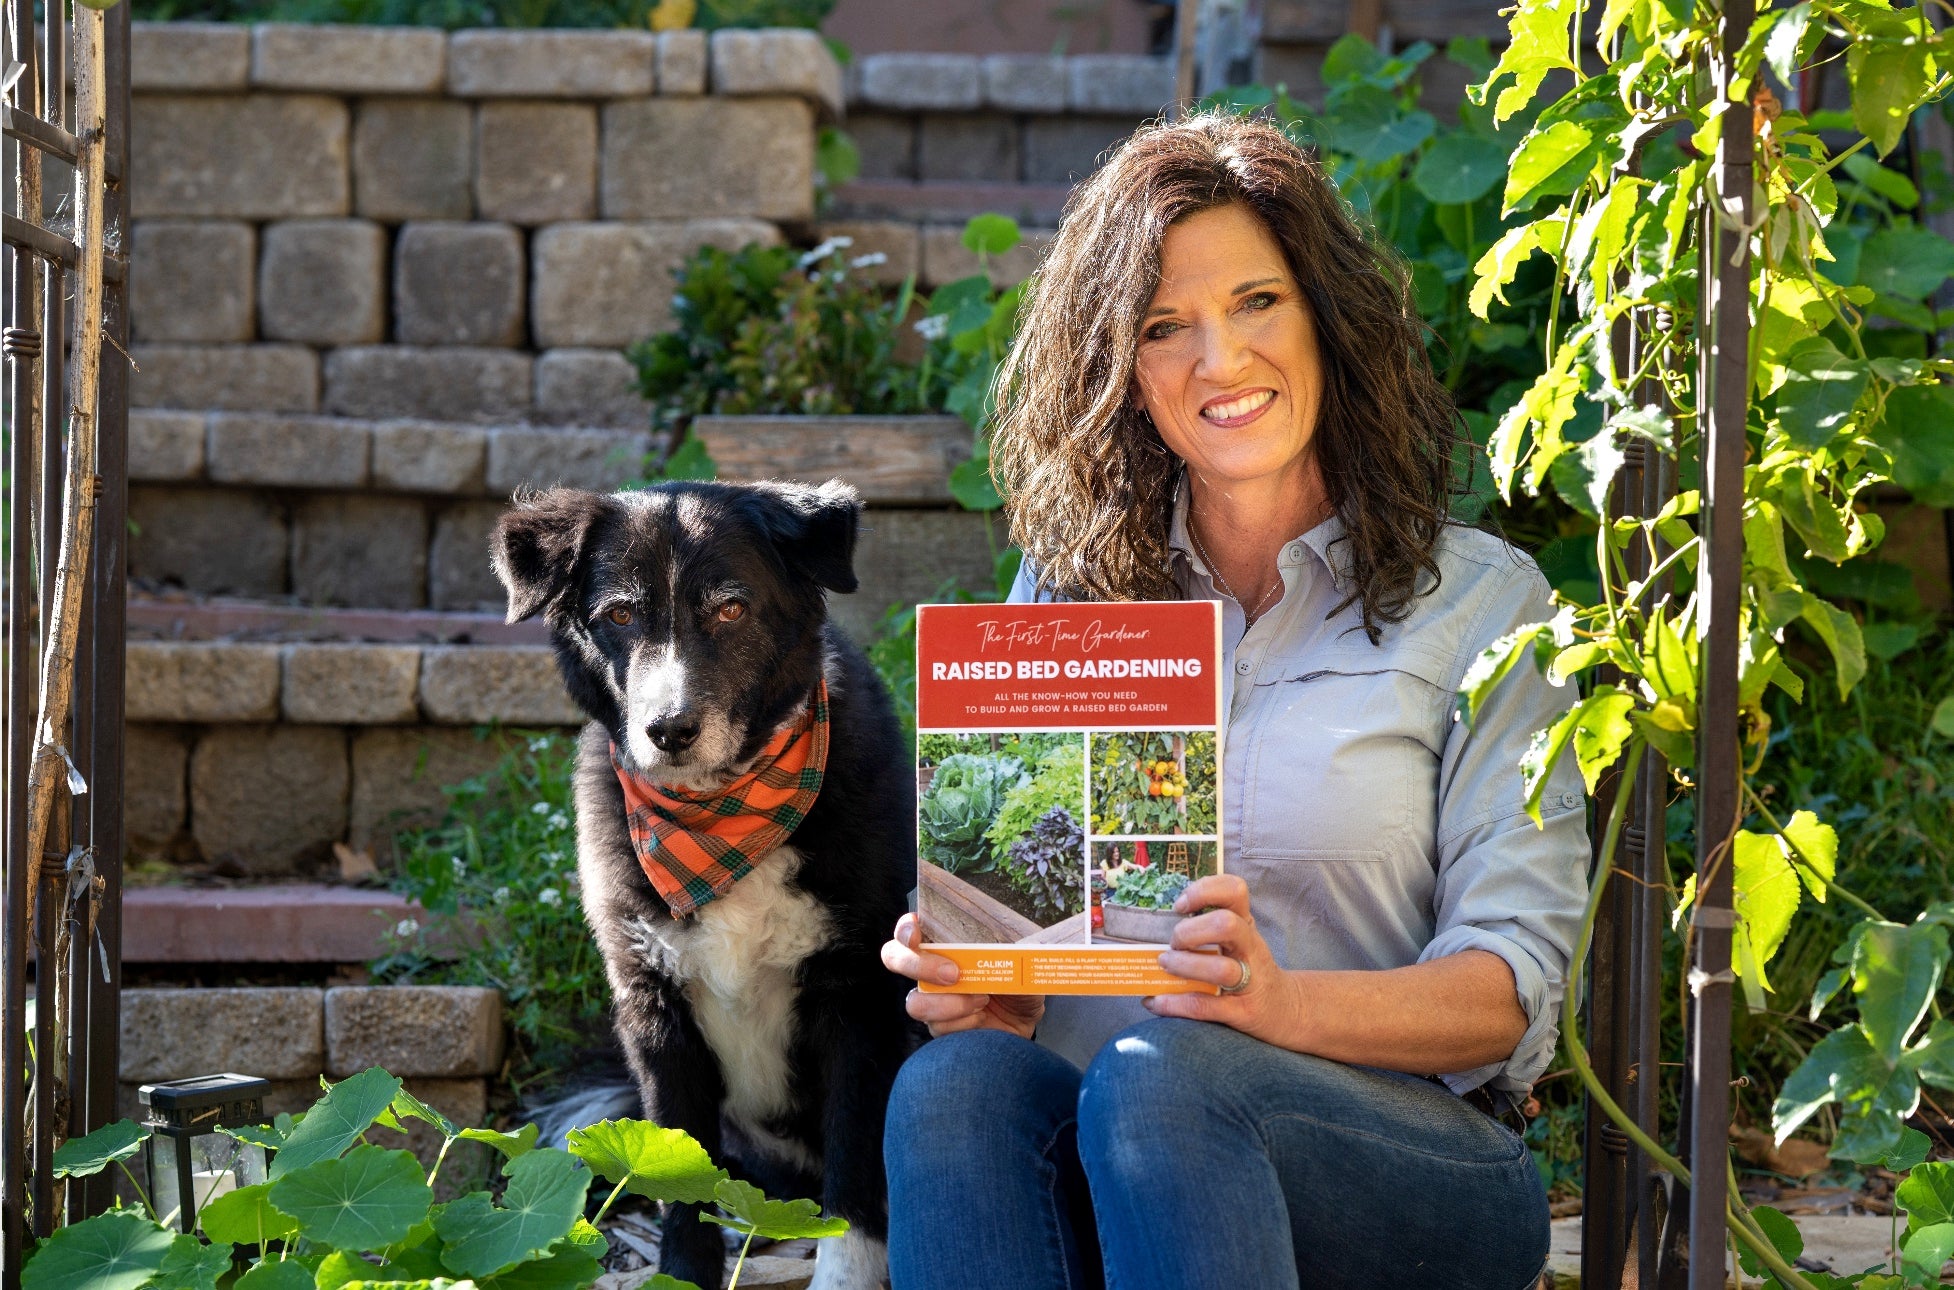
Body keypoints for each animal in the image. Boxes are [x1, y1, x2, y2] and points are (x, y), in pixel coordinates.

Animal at [488, 480, 914, 1290]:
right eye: (619, 615)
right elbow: (675, 1176)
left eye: (731, 610)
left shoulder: (859, 1001)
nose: (669, 730)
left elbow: (853, 1188)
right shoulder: (655, 1007)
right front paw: (684, 1272)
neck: (718, 815)